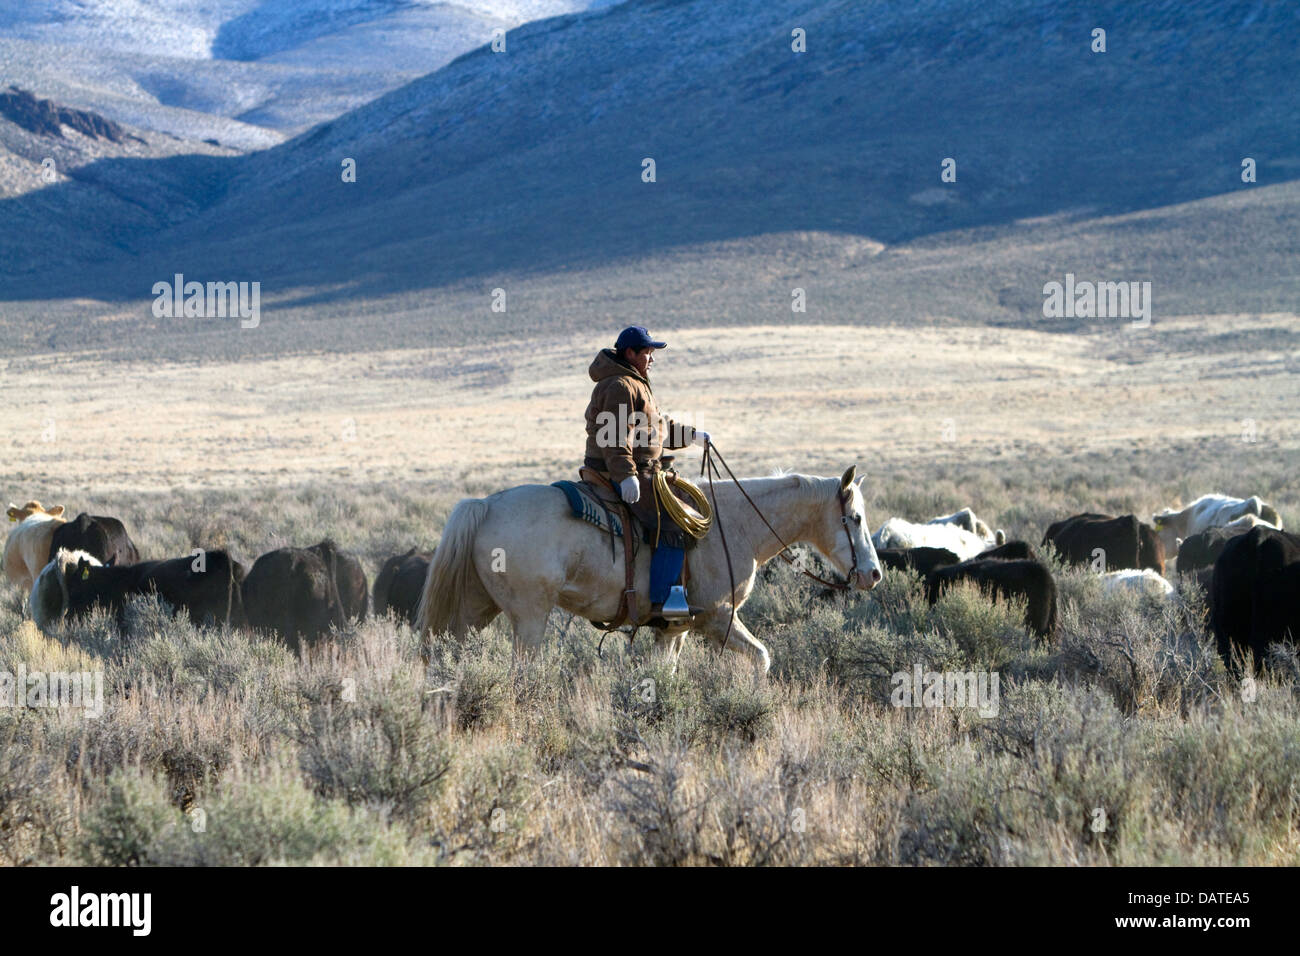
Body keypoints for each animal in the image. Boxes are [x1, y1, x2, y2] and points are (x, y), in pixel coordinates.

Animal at [416, 465, 883, 671]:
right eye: (856, 517)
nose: (874, 574)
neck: (735, 524)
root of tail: (486, 504)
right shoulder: (718, 619)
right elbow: (762, 658)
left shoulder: (674, 629)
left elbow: (666, 674)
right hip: (530, 618)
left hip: (474, 610)